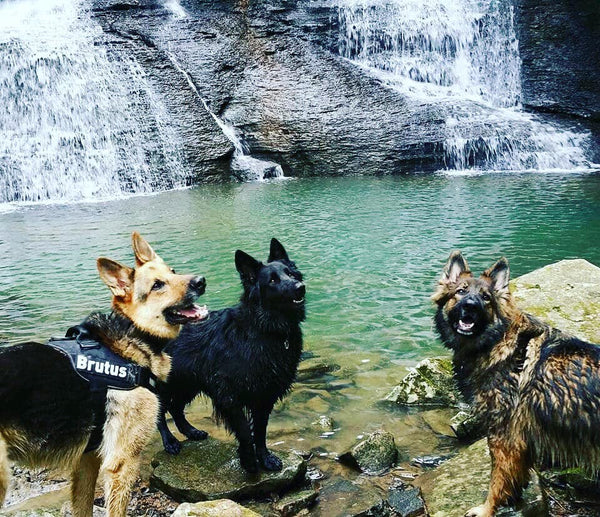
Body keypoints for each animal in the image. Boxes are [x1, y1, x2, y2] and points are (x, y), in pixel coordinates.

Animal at [0, 232, 207, 512]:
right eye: (157, 286)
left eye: (173, 272)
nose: (201, 281)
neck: (130, 334)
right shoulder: (122, 463)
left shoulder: (86, 460)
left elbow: (83, 506)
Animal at [157, 238, 304, 472]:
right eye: (272, 280)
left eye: (291, 273)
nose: (301, 288)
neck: (264, 330)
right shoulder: (228, 394)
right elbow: (244, 430)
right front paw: (249, 462)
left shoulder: (265, 395)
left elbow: (260, 431)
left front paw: (265, 458)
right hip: (168, 382)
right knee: (161, 410)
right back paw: (169, 441)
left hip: (188, 382)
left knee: (175, 407)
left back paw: (191, 431)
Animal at [434, 249, 600, 512]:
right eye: (460, 291)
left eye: (485, 298)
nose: (470, 306)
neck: (496, 341)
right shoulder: (521, 442)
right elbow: (515, 476)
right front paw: (513, 500)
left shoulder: (503, 436)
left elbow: (497, 480)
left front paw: (486, 509)